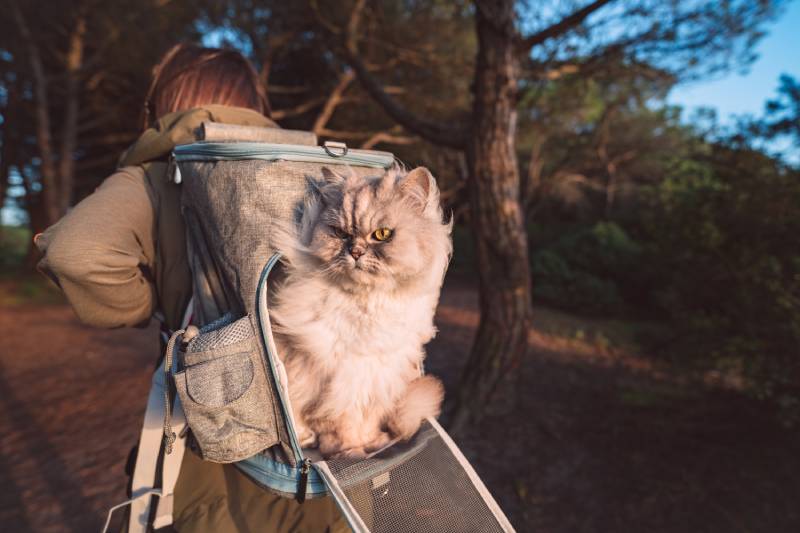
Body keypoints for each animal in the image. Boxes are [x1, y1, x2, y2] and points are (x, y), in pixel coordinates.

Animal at [270, 165, 454, 458]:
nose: (355, 252)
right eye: (340, 233)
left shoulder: (379, 376)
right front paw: (350, 451)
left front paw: (370, 443)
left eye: (382, 234)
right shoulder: (337, 380)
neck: (369, 304)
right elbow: (339, 426)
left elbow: (367, 420)